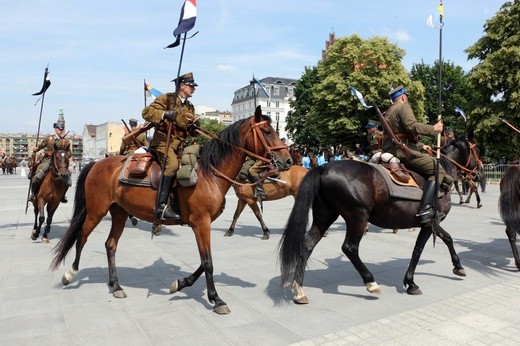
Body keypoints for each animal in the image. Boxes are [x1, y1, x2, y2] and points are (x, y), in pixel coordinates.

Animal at [49, 107, 292, 314]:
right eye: (268, 131)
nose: (288, 160)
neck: (209, 173)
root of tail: (97, 163)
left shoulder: (201, 225)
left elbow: (203, 262)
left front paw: (180, 284)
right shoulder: (201, 223)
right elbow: (208, 262)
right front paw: (216, 299)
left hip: (119, 212)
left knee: (110, 245)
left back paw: (115, 285)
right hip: (96, 211)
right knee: (81, 238)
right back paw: (70, 274)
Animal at [278, 137, 474, 304]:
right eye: (475, 149)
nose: (477, 170)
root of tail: (324, 168)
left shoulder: (433, 222)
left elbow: (447, 238)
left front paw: (458, 266)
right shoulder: (429, 222)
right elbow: (418, 250)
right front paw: (411, 283)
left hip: (324, 216)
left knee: (307, 245)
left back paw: (299, 290)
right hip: (357, 217)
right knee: (349, 248)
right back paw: (371, 283)